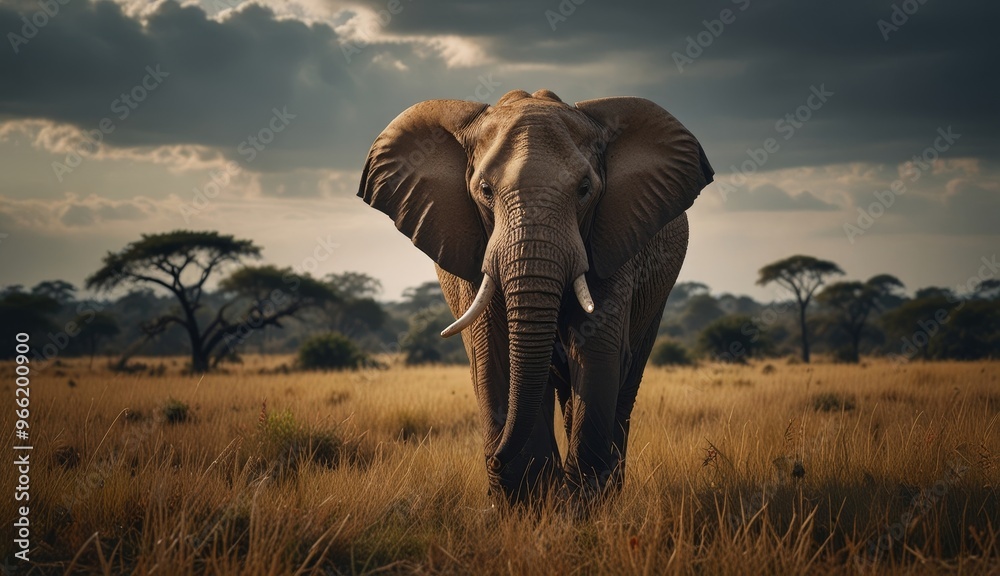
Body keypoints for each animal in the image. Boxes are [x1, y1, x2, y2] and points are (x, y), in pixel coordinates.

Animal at [358, 89, 713, 505]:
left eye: (584, 190)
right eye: (485, 191)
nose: (493, 461)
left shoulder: (614, 238)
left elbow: (596, 353)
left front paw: (579, 507)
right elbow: (495, 354)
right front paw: (528, 502)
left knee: (624, 380)